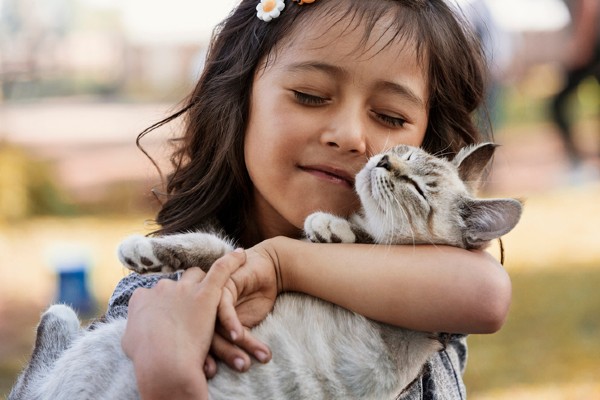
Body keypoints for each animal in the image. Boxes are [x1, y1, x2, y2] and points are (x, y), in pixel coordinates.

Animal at [8, 143, 520, 400]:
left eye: (414, 184)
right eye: (402, 151)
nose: (381, 160)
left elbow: (220, 246)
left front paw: (330, 228)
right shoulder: (238, 258)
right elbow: (213, 245)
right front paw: (147, 251)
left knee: (44, 348)